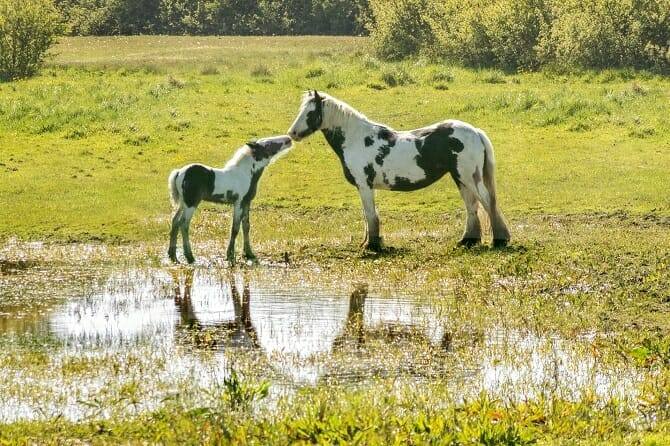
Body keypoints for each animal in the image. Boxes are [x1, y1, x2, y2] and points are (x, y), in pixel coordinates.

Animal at [286, 91, 512, 251]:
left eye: (310, 113)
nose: (292, 133)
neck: (357, 138)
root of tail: (475, 131)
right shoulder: (365, 187)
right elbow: (368, 215)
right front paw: (368, 242)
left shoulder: (364, 185)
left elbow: (370, 214)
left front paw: (372, 245)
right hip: (461, 178)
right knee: (472, 206)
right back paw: (467, 241)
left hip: (468, 177)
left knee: (487, 202)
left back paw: (499, 240)